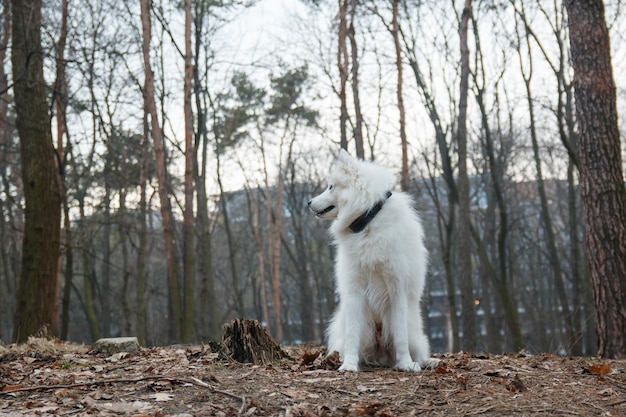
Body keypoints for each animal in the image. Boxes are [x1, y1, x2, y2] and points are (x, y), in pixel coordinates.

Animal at [306, 150, 434, 370]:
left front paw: (405, 364)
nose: (308, 202)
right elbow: (352, 335)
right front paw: (349, 365)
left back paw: (425, 361)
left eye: (330, 186)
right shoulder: (353, 288)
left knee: (417, 350)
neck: (368, 220)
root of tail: (380, 355)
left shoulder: (397, 288)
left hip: (414, 331)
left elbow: (400, 335)